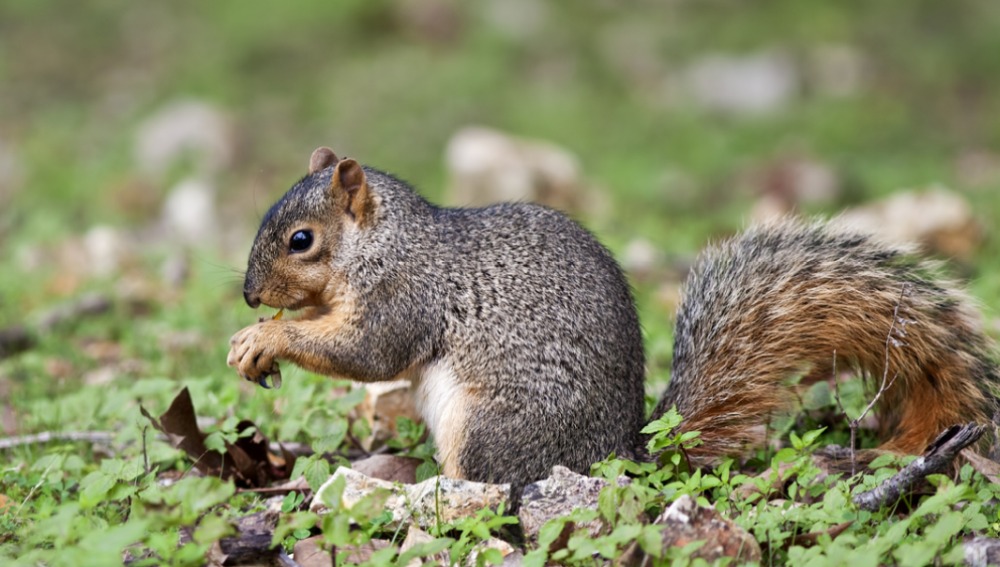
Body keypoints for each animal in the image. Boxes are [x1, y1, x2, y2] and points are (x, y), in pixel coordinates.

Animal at [229, 149, 1000, 500]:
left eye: (301, 240)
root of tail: (620, 456)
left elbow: (368, 352)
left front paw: (267, 337)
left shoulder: (404, 295)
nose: (247, 294)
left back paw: (417, 491)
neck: (385, 243)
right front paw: (257, 336)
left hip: (492, 427)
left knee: (495, 487)